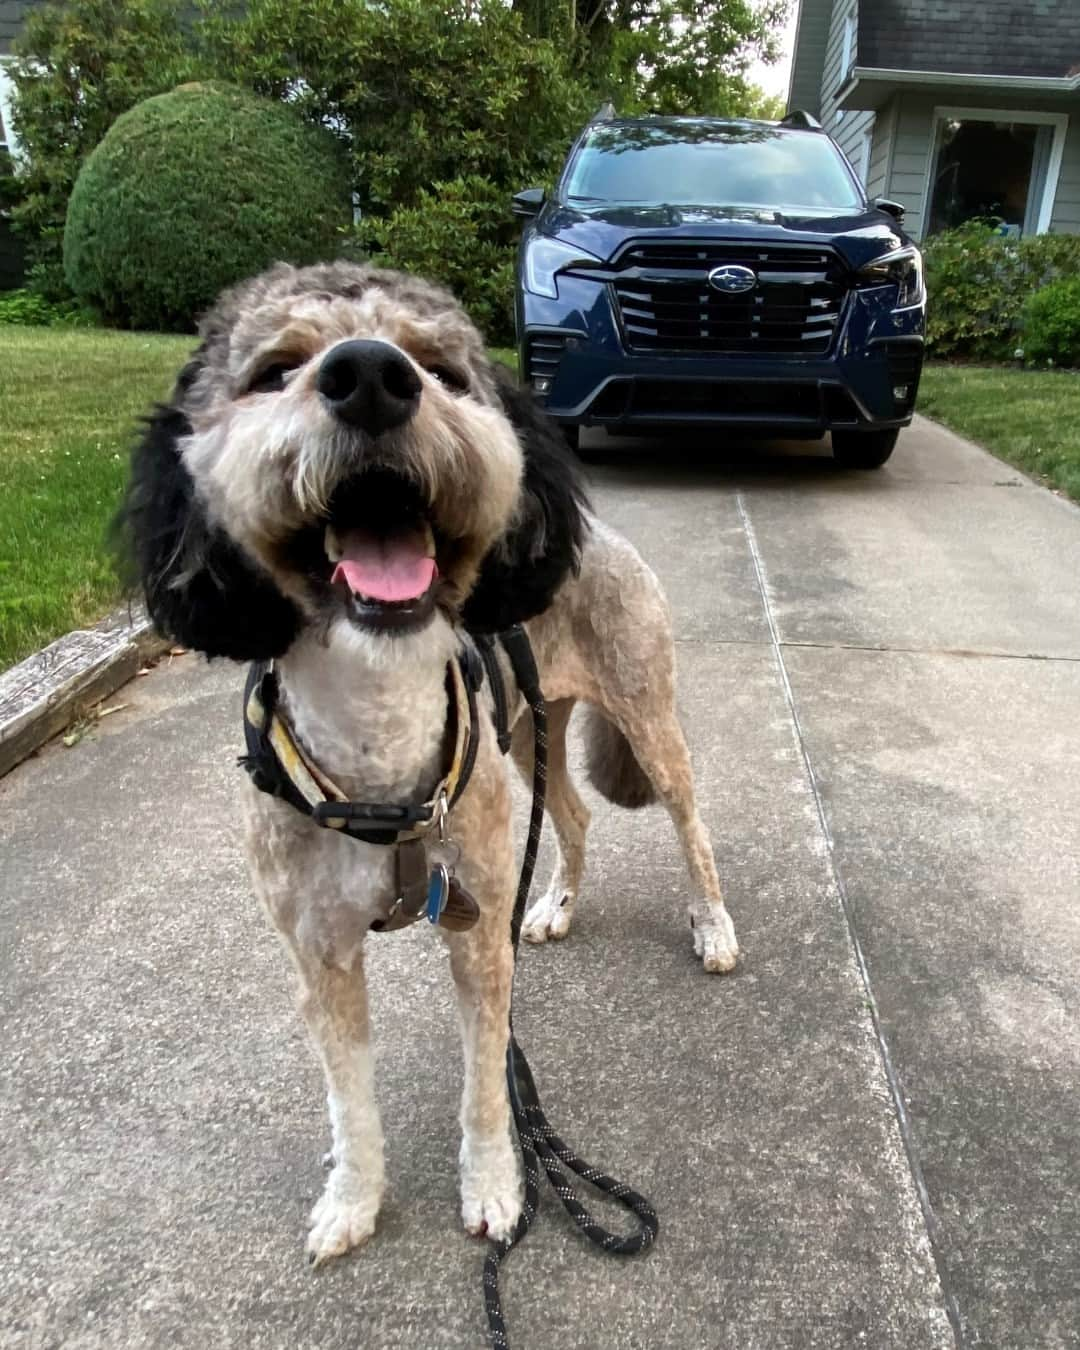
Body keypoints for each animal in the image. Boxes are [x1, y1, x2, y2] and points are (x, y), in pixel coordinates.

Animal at [122, 260, 739, 1263]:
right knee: (572, 815)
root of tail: (588, 532)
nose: (371, 376)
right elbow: (349, 1103)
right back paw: (557, 904)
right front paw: (353, 1200)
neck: (377, 744)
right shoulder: (321, 957)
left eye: (444, 369)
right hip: (529, 732)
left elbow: (486, 1087)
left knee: (691, 823)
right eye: (274, 370)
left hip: (646, 715)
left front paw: (495, 1189)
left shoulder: (476, 939)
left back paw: (713, 927)